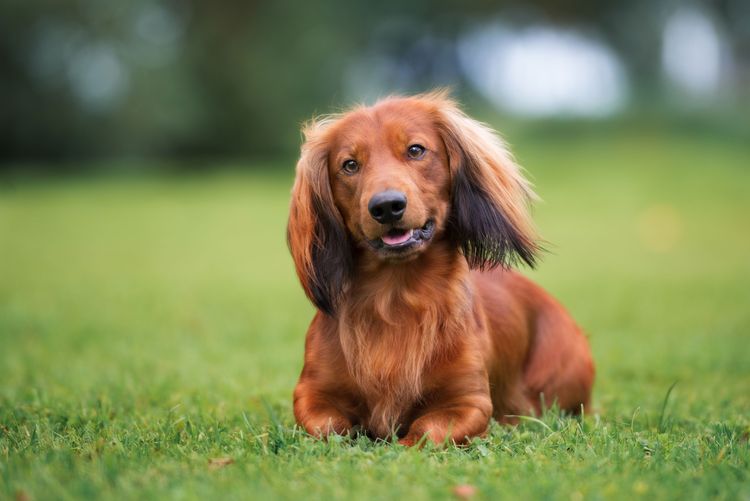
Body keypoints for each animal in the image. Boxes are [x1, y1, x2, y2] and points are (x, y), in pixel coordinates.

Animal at [286, 91, 592, 446]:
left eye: (416, 150)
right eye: (349, 165)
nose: (387, 206)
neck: (395, 296)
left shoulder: (469, 403)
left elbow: (424, 433)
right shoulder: (310, 394)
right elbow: (329, 427)